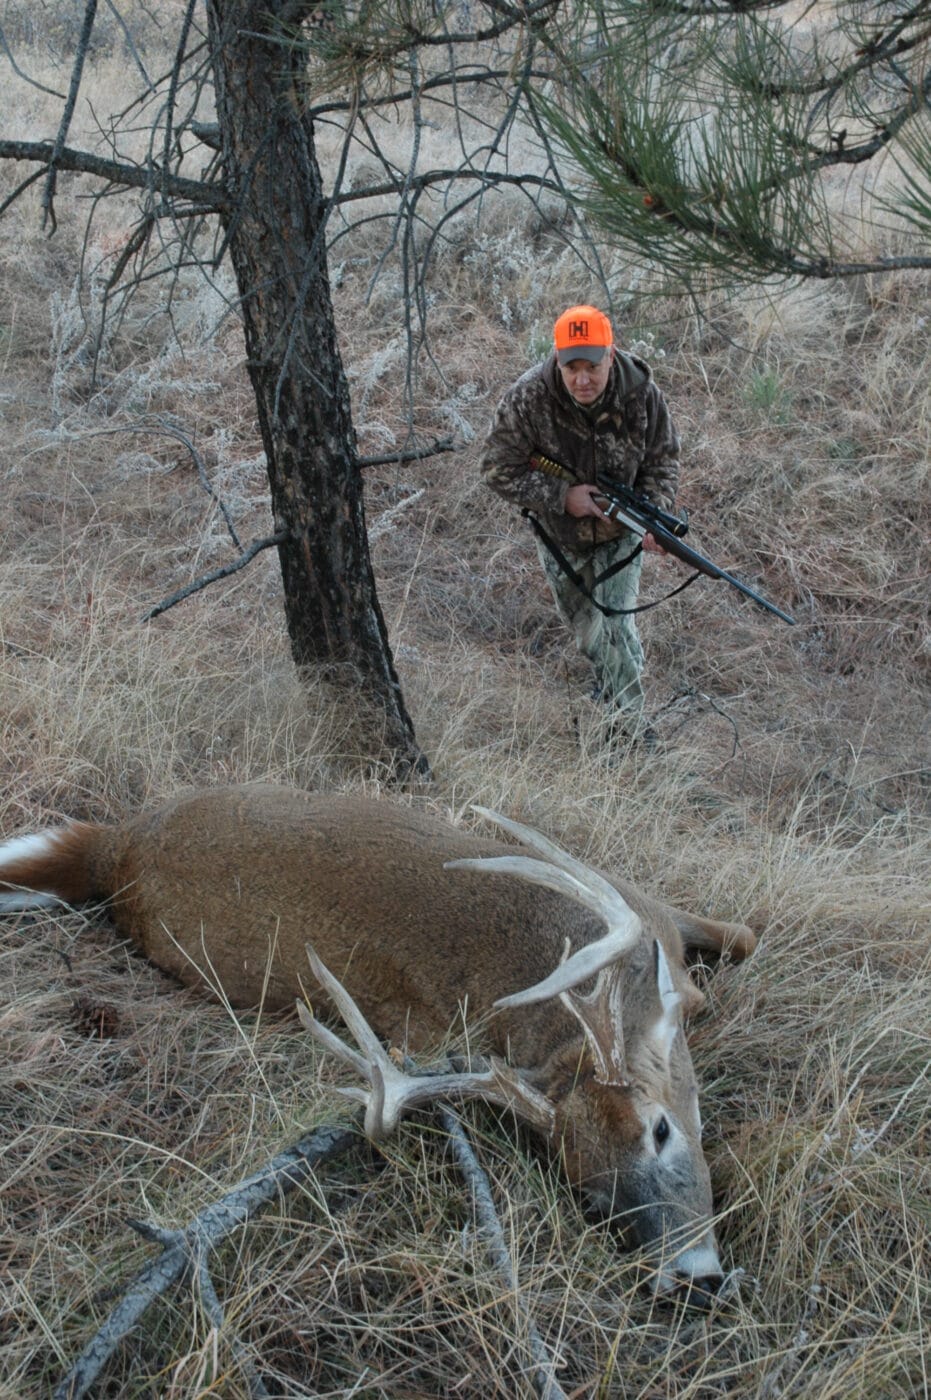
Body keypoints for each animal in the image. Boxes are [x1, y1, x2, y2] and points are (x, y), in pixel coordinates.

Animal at [0, 789, 750, 1299]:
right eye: (589, 1197)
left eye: (661, 1130)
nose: (691, 1277)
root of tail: (113, 851)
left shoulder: (647, 905)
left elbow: (741, 935)